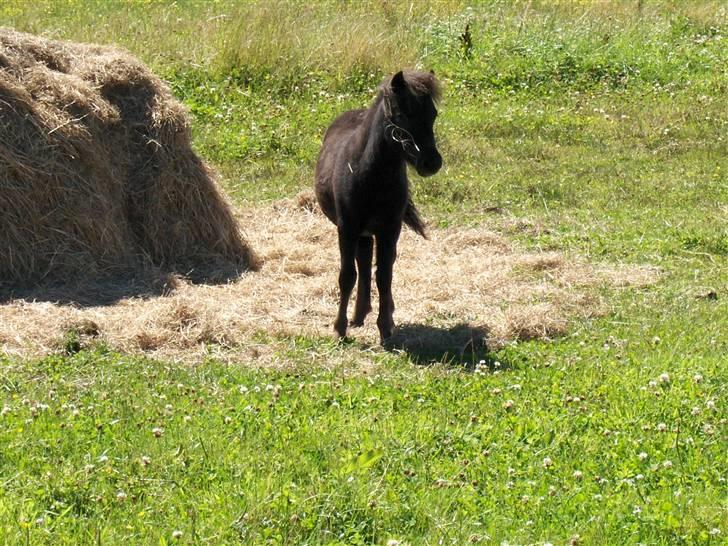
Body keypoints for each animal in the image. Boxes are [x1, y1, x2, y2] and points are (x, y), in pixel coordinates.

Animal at [314, 70, 440, 342]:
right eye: (403, 115)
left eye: (433, 114)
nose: (432, 163)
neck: (371, 175)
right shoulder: (347, 228)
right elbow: (347, 276)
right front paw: (339, 328)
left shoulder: (390, 229)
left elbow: (384, 275)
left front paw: (385, 326)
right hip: (361, 232)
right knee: (361, 263)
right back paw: (358, 314)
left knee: (377, 263)